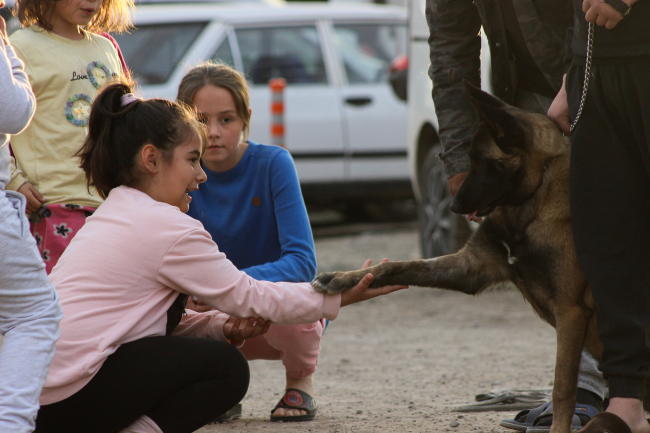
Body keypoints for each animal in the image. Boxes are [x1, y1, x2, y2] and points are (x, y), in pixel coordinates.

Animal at [308, 82, 604, 432]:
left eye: (483, 160)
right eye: (468, 159)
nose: (451, 207)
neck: (530, 204)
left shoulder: (570, 311)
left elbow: (562, 388)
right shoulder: (470, 267)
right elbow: (398, 266)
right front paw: (340, 278)